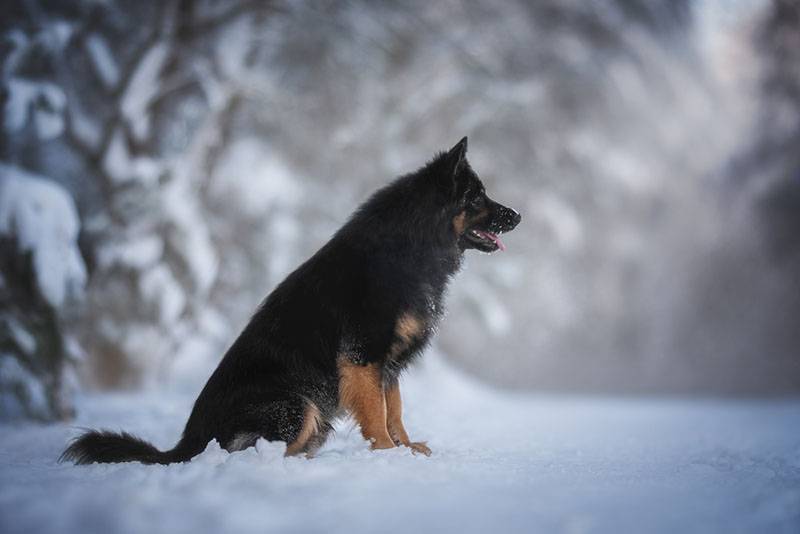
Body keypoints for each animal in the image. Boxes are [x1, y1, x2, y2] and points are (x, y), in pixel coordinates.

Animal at [64, 138, 524, 464]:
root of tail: (187, 443)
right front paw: (387, 454)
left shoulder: (388, 364)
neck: (411, 244)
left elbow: (395, 411)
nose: (518, 216)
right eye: (477, 197)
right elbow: (377, 415)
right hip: (298, 405)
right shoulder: (364, 356)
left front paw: (406, 449)